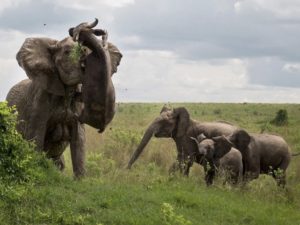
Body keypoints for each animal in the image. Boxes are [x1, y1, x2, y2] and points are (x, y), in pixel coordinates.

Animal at [5, 18, 122, 178]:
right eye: (67, 52)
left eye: (86, 49)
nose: (74, 30)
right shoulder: (39, 100)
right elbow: (36, 136)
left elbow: (79, 140)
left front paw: (80, 180)